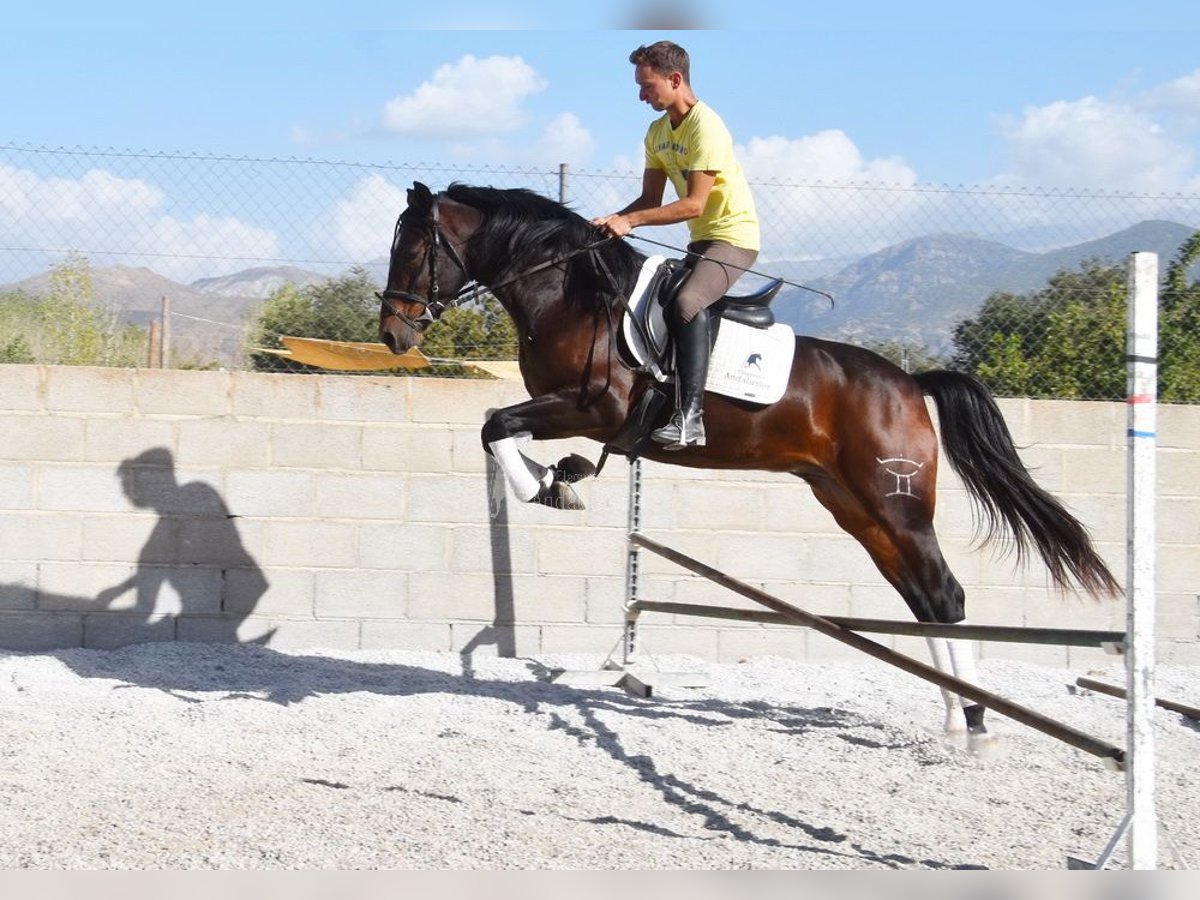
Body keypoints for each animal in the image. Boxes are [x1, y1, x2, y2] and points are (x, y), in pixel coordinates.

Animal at [377, 181, 1120, 742]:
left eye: (414, 249)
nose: (391, 333)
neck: (569, 292)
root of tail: (911, 383)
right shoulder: (569, 411)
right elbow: (495, 426)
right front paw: (562, 477)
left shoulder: (596, 409)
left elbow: (495, 425)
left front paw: (556, 485)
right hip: (856, 507)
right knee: (924, 598)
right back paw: (954, 716)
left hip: (897, 504)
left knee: (944, 593)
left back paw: (972, 723)